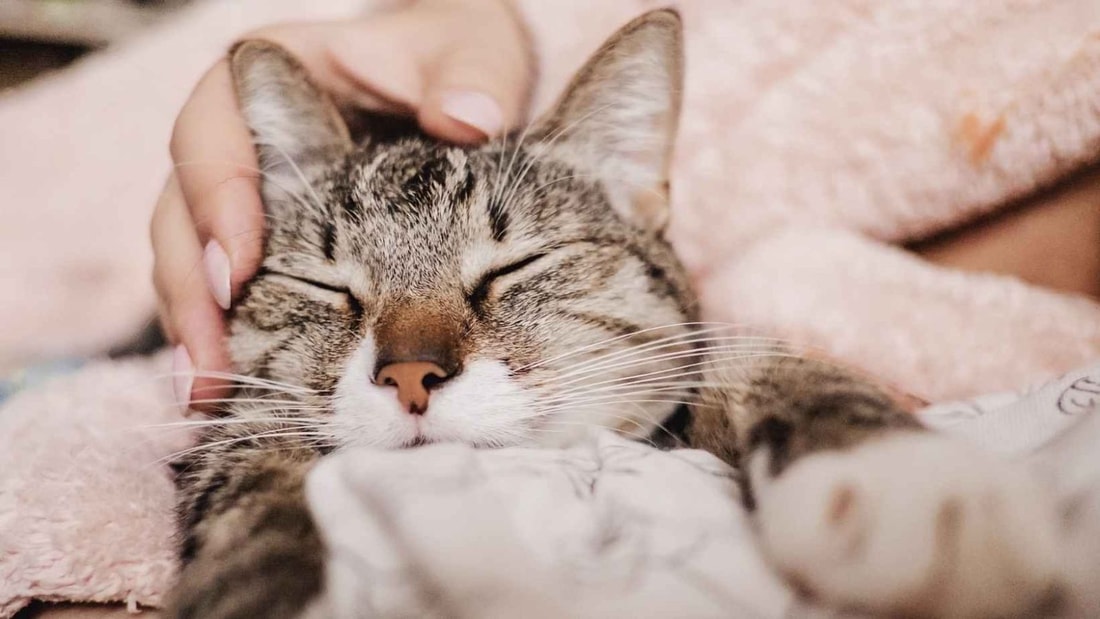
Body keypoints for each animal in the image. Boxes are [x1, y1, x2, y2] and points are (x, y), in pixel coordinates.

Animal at [169, 10, 1064, 619]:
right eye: (327, 286)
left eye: (514, 267)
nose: (410, 374)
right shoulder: (231, 436)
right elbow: (254, 496)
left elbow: (772, 363)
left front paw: (907, 481)